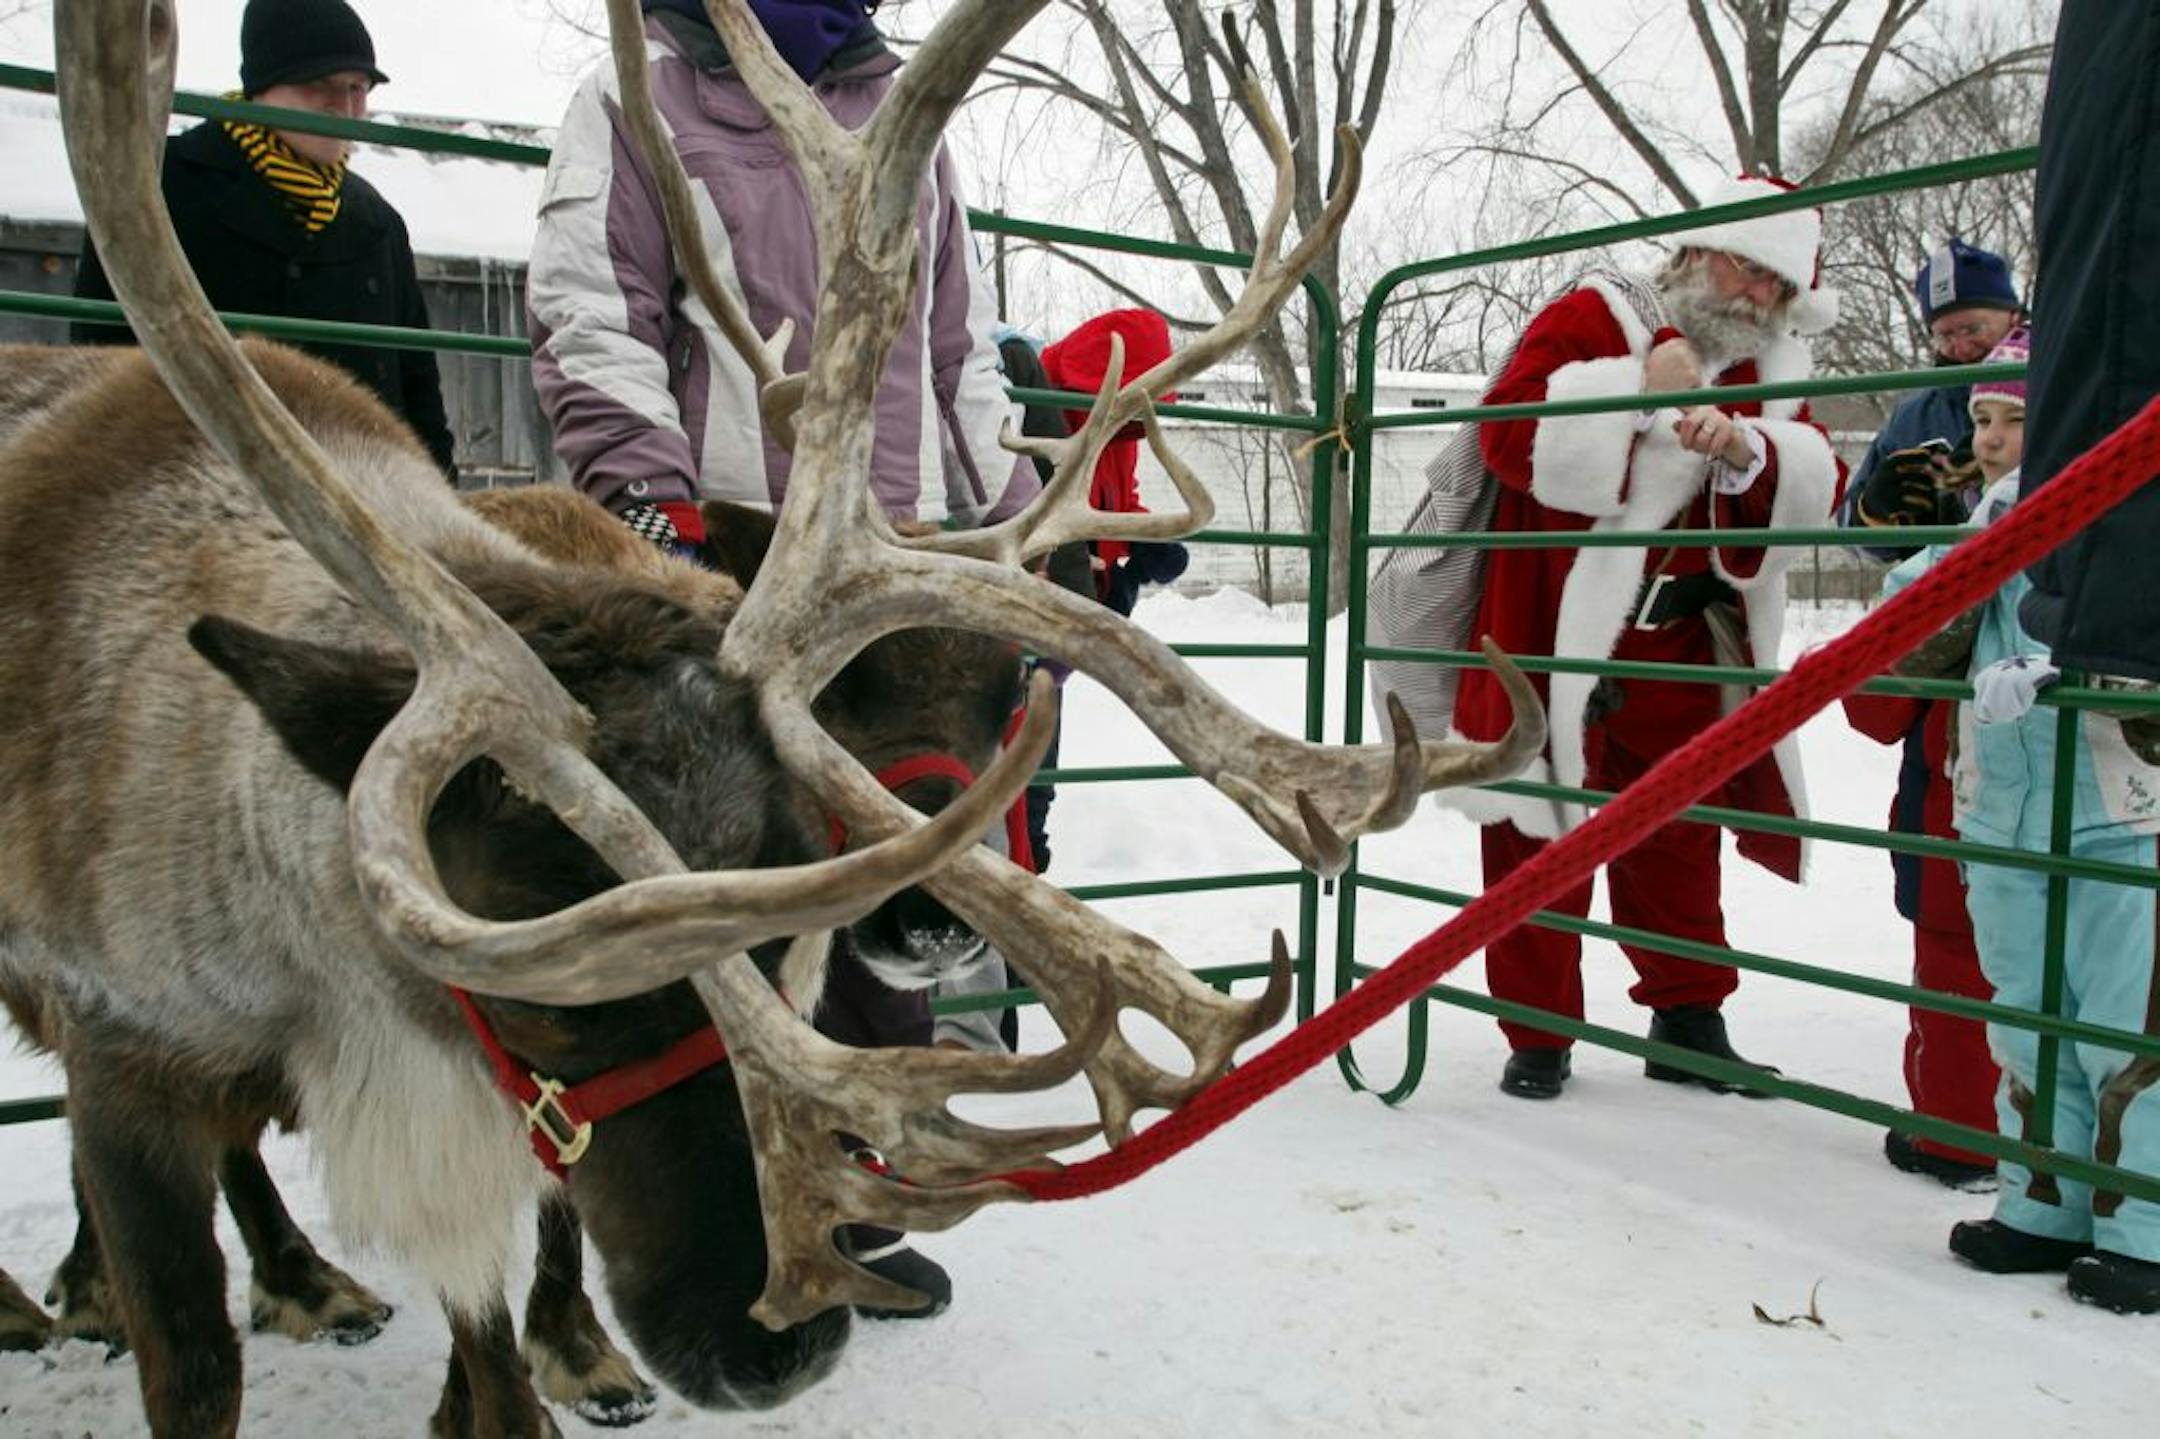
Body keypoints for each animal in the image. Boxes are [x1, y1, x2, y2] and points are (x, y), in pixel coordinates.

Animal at [1, 2, 1542, 1436]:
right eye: (545, 990)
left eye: (792, 927)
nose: (778, 1335)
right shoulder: (128, 1032)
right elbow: (194, 1350)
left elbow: (484, 1327)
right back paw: (99, 1288)